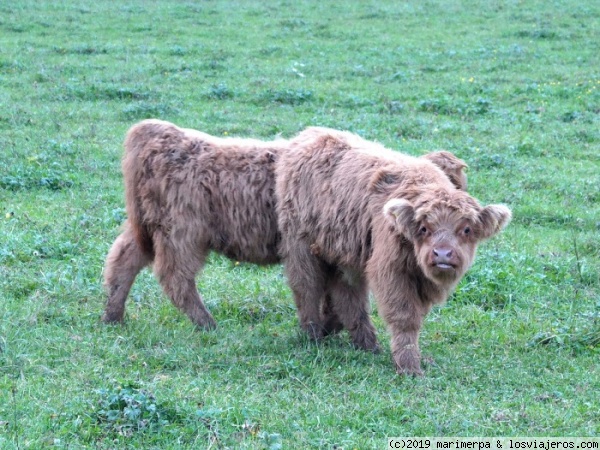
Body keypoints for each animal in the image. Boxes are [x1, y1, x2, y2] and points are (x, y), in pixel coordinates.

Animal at [102, 121, 288, 328]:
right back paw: (207, 323)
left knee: (123, 259)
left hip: (148, 228)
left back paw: (112, 318)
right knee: (174, 275)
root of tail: (158, 129)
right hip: (181, 231)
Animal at [274, 127, 508, 376]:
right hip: (300, 245)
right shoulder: (390, 270)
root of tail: (309, 133)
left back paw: (364, 343)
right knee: (307, 287)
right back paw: (314, 336)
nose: (442, 254)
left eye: (466, 229)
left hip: (344, 253)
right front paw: (409, 366)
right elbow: (405, 318)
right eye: (424, 228)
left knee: (347, 295)